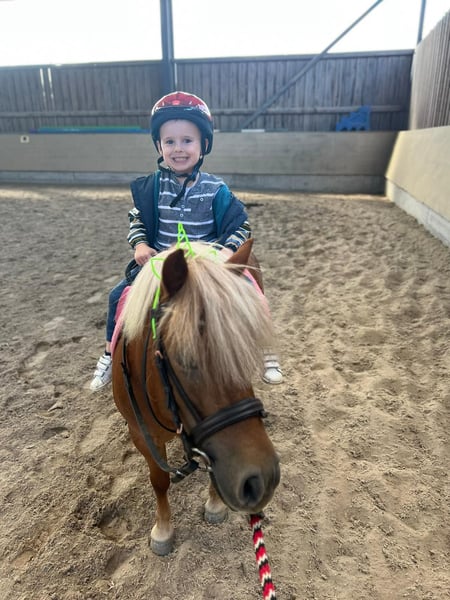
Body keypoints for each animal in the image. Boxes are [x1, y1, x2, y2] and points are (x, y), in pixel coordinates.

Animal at [111, 238, 280, 555]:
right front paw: (163, 530)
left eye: (245, 349)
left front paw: (214, 503)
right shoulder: (141, 434)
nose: (261, 480)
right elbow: (159, 480)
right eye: (184, 359)